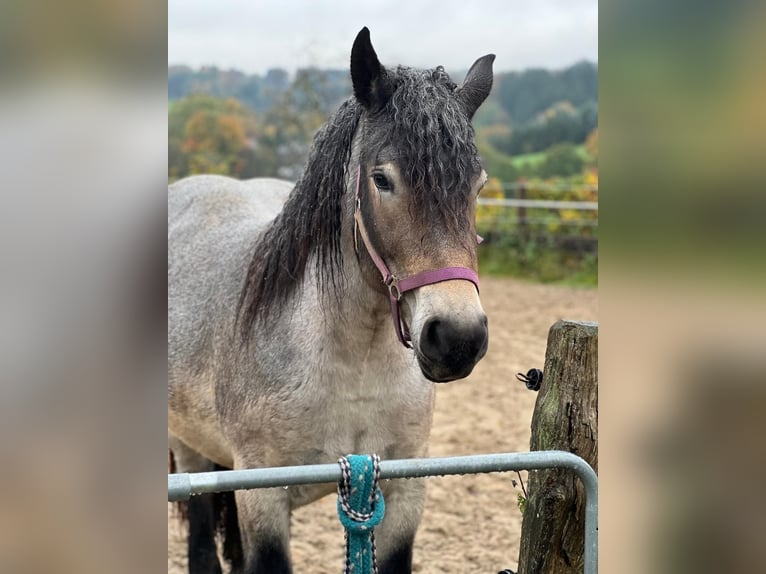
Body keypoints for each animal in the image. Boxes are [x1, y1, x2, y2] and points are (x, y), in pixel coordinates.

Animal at [168, 27, 494, 574]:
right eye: (382, 179)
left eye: (478, 185)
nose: (457, 338)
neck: (352, 364)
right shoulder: (262, 499)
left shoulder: (401, 491)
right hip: (188, 450)